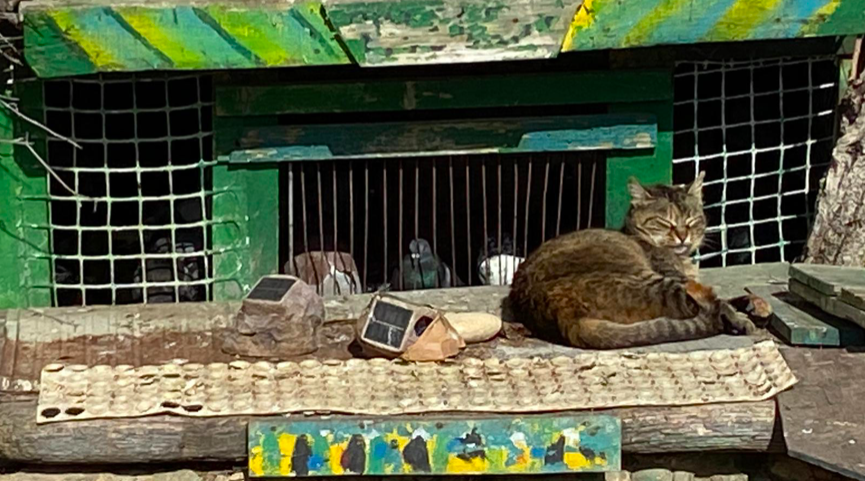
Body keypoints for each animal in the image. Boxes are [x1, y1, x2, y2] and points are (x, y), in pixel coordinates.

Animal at [510, 173, 752, 348]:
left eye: (691, 221)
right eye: (665, 222)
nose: (684, 236)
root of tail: (563, 314)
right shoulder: (681, 279)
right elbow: (718, 300)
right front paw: (741, 317)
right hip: (658, 284)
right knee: (710, 306)